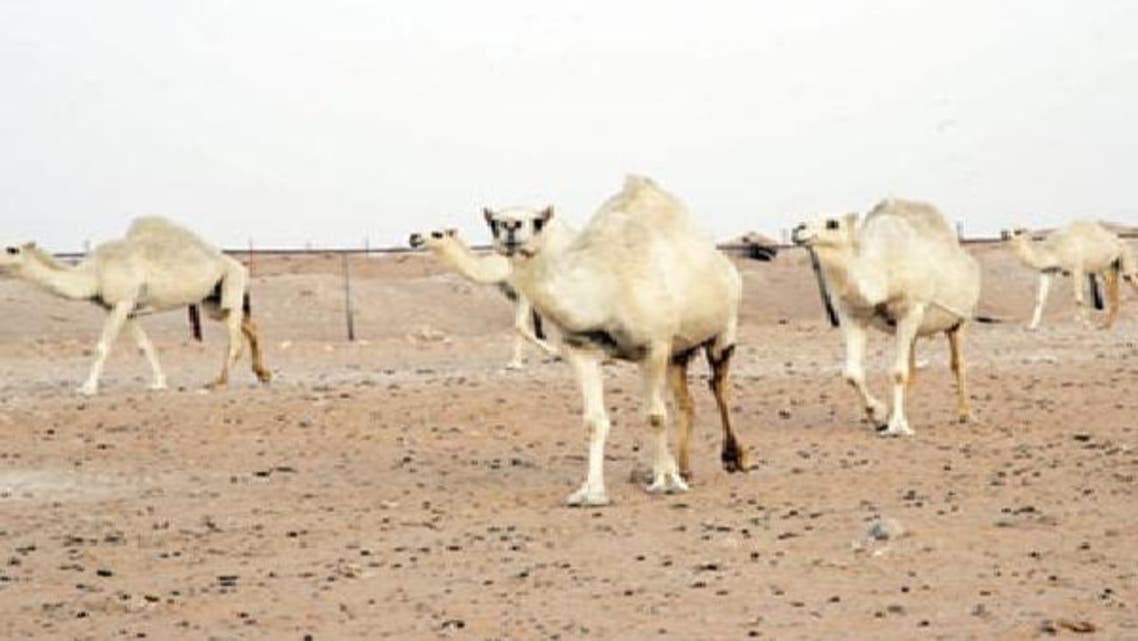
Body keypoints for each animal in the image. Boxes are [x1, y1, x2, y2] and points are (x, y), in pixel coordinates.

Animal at [0, 218, 270, 393]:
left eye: (11, 249)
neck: (94, 272)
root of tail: (238, 264)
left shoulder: (121, 302)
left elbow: (102, 346)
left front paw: (87, 387)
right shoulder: (126, 309)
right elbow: (144, 346)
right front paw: (159, 383)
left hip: (232, 283)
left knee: (235, 339)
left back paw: (218, 382)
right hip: (212, 300)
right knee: (250, 326)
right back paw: (263, 375)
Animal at [409, 227, 559, 368]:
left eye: (437, 233)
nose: (413, 237)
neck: (501, 267)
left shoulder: (524, 293)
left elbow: (521, 326)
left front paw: (554, 353)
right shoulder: (513, 295)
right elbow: (518, 326)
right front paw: (515, 363)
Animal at [484, 174, 751, 507]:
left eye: (537, 220)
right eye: (493, 222)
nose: (511, 227)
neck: (605, 288)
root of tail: (724, 263)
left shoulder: (654, 345)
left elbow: (655, 415)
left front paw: (665, 482)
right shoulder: (582, 348)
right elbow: (594, 420)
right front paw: (591, 493)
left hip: (724, 328)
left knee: (718, 386)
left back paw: (734, 458)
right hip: (678, 351)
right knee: (686, 400)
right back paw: (685, 469)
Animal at [796, 198, 983, 437]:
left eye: (832, 223)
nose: (798, 230)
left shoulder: (911, 310)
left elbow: (898, 372)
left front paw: (897, 426)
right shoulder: (853, 315)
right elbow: (852, 373)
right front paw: (879, 416)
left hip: (958, 321)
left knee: (957, 363)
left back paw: (965, 414)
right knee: (913, 368)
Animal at [1001, 220, 1133, 330]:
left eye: (1018, 231)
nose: (1003, 233)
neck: (1052, 251)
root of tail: (1118, 239)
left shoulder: (1077, 268)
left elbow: (1078, 299)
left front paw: (1087, 324)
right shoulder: (1047, 271)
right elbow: (1039, 299)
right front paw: (1032, 326)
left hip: (1122, 258)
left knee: (1130, 278)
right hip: (1107, 267)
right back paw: (1106, 324)